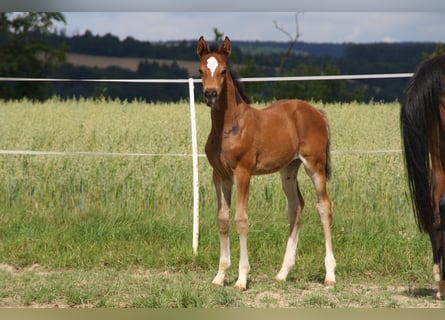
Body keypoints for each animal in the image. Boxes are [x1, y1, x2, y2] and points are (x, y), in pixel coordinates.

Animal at [196, 35, 334, 290]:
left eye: (223, 70)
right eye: (201, 70)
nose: (210, 94)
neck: (228, 127)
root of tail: (316, 112)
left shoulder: (243, 172)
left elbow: (241, 220)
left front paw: (241, 279)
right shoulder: (219, 175)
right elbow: (223, 219)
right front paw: (220, 276)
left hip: (315, 166)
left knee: (324, 207)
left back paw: (330, 275)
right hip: (288, 170)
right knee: (296, 206)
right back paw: (282, 273)